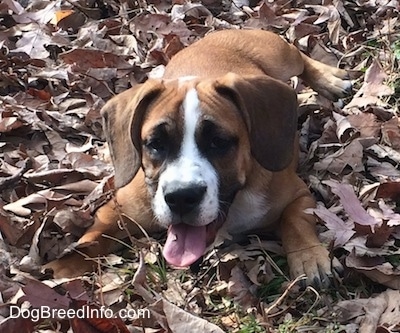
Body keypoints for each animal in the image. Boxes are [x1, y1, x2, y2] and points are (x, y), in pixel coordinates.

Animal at [46, 29, 346, 286]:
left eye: (218, 143)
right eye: (155, 144)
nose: (181, 197)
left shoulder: (298, 195)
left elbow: (296, 222)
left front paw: (309, 257)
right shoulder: (120, 207)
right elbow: (97, 232)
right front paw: (66, 263)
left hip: (278, 55)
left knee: (299, 56)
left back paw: (330, 79)